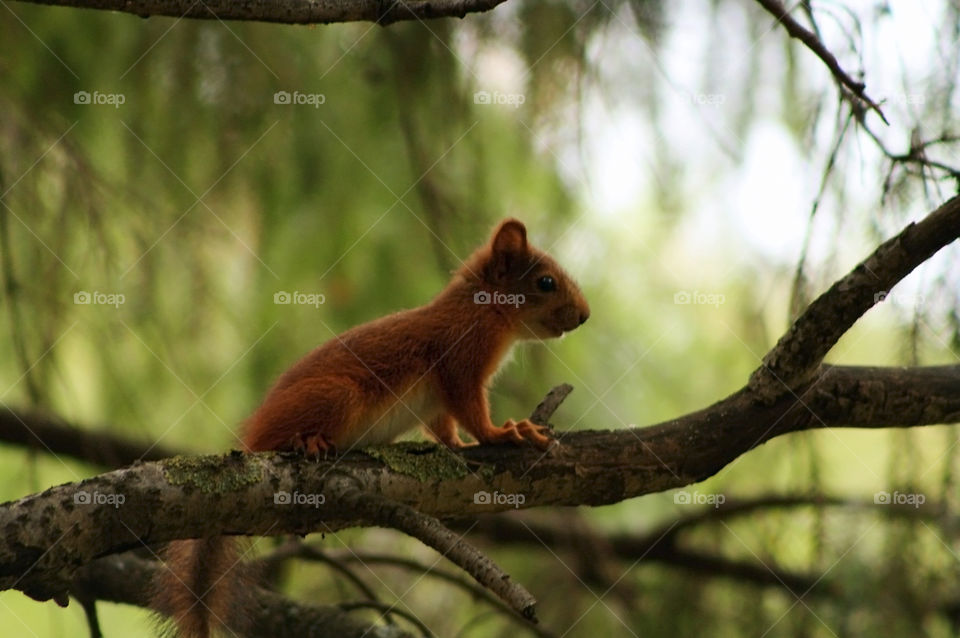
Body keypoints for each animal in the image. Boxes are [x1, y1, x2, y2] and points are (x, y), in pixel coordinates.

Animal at [154, 218, 589, 637]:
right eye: (545, 283)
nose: (585, 316)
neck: (483, 308)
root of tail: (249, 441)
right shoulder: (461, 360)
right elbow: (472, 411)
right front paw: (502, 432)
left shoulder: (436, 403)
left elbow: (442, 427)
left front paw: (457, 444)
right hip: (339, 395)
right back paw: (307, 440)